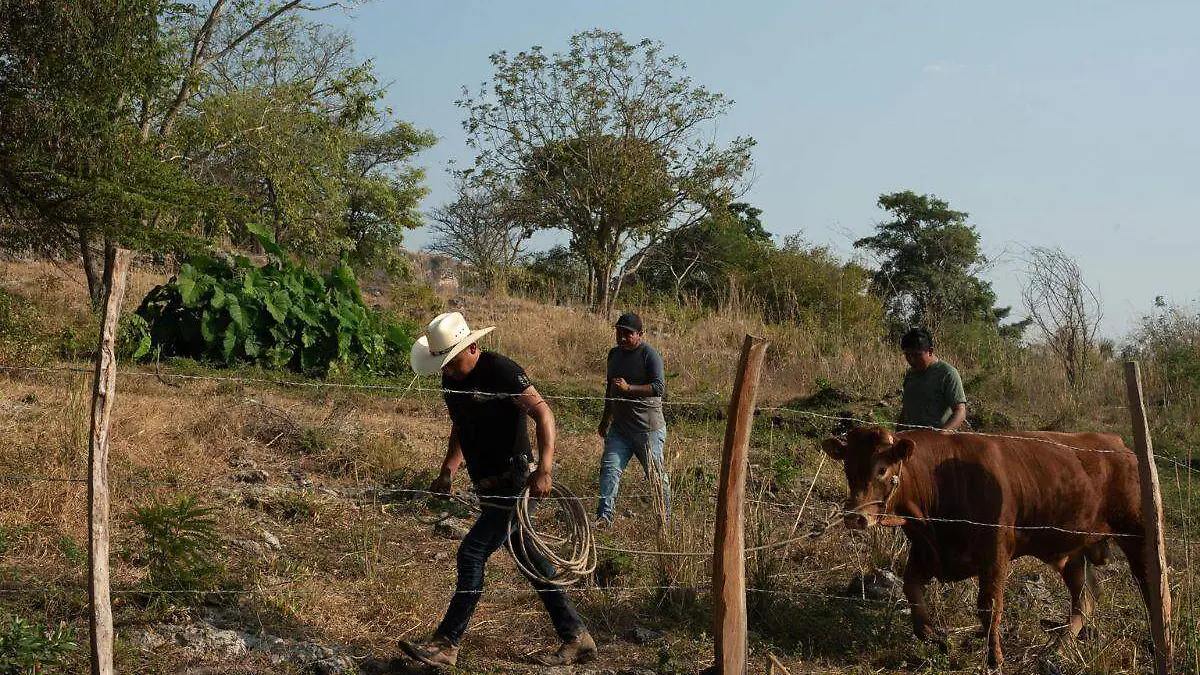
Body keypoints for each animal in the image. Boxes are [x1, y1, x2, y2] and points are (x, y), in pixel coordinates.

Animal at [820, 425, 1147, 667]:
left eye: (882, 468)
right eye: (848, 468)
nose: (855, 516)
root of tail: (1117, 443)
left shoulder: (995, 552)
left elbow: (989, 608)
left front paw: (994, 659)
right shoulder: (926, 552)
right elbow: (911, 590)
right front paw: (934, 636)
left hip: (1136, 533)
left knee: (1144, 581)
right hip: (1071, 550)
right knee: (1084, 598)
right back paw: (1056, 649)